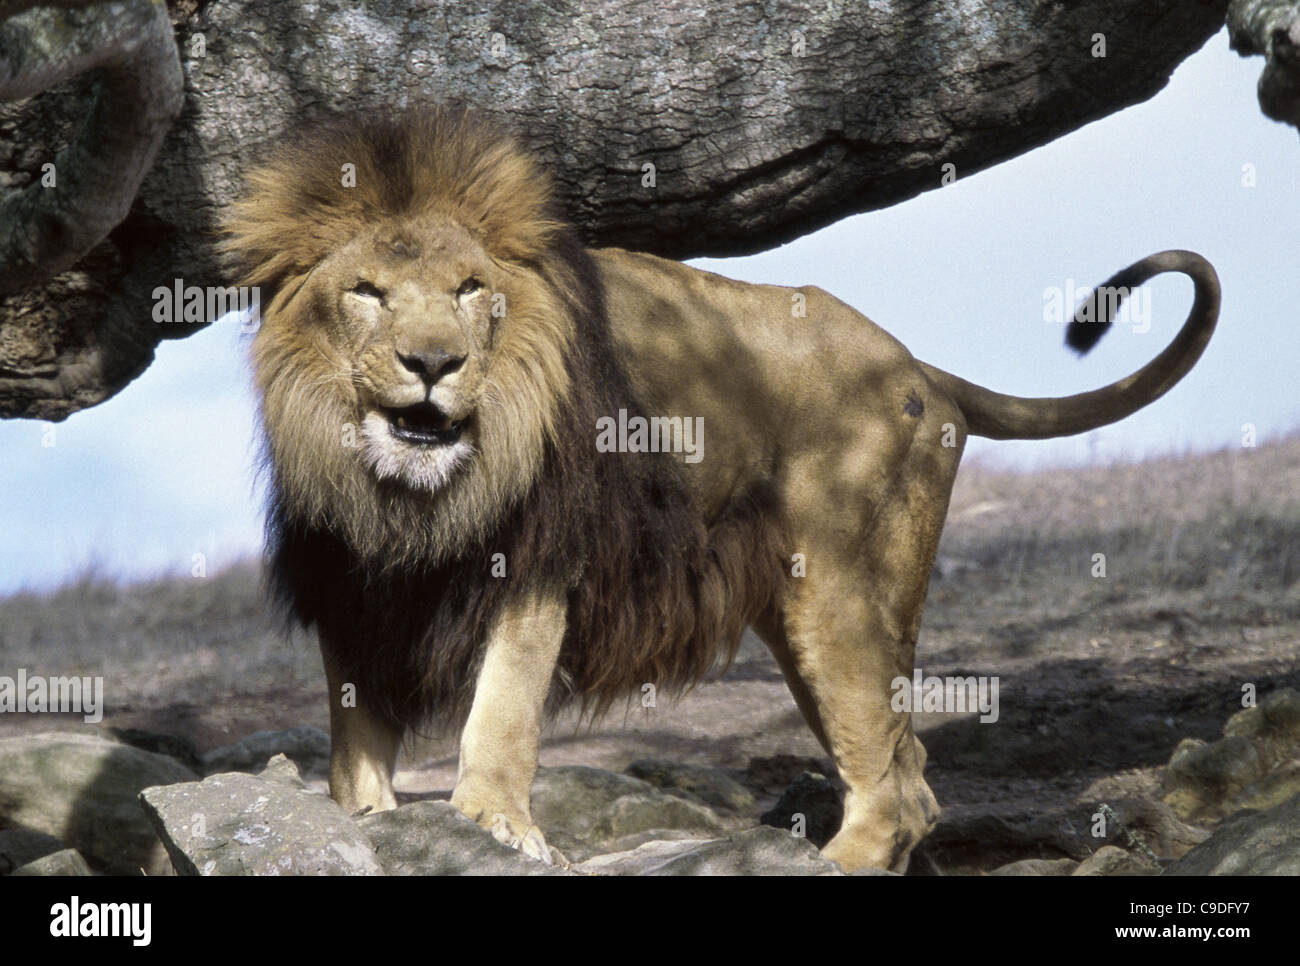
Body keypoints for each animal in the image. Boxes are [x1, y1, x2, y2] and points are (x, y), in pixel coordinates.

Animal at [221, 106, 1219, 873]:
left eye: (470, 289)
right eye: (368, 292)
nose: (434, 364)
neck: (408, 494)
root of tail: (918, 366)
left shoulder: (539, 560)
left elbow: (501, 710)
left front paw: (493, 825)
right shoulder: (348, 587)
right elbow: (356, 744)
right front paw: (368, 823)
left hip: (841, 593)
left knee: (898, 787)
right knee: (913, 768)